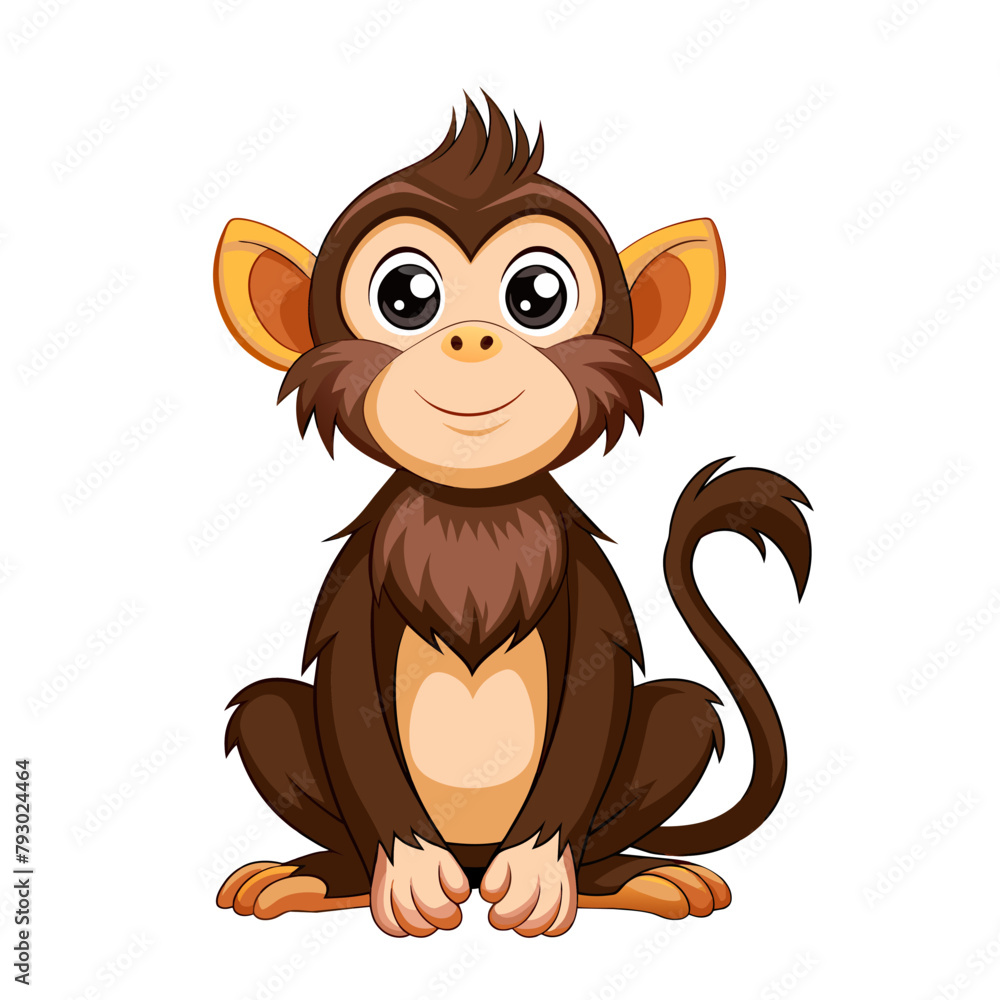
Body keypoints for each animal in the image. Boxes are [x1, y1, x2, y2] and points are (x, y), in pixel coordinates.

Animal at [212, 94, 811, 938]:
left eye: (536, 296)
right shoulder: (356, 583)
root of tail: (472, 863)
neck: (474, 507)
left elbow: (594, 698)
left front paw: (538, 874)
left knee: (680, 714)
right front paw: (406, 876)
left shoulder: (588, 584)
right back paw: (319, 877)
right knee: (269, 710)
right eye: (405, 296)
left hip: (652, 754)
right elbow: (349, 697)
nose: (472, 339)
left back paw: (631, 878)